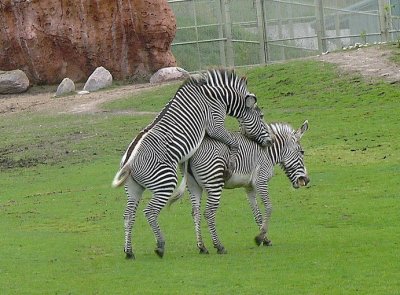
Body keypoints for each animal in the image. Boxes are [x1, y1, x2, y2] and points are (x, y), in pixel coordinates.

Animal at [112, 69, 276, 260]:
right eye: (261, 116)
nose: (270, 142)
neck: (216, 96)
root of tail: (128, 162)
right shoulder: (214, 125)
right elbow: (233, 143)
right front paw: (231, 164)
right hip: (165, 182)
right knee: (150, 212)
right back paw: (160, 246)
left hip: (134, 188)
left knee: (128, 215)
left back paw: (129, 251)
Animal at [169, 120, 310, 254]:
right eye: (302, 152)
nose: (307, 180)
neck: (268, 153)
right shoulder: (261, 181)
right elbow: (269, 207)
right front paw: (259, 238)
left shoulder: (249, 187)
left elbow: (257, 214)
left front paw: (265, 238)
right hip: (214, 184)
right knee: (208, 213)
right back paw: (219, 246)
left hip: (193, 186)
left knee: (195, 213)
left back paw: (202, 247)